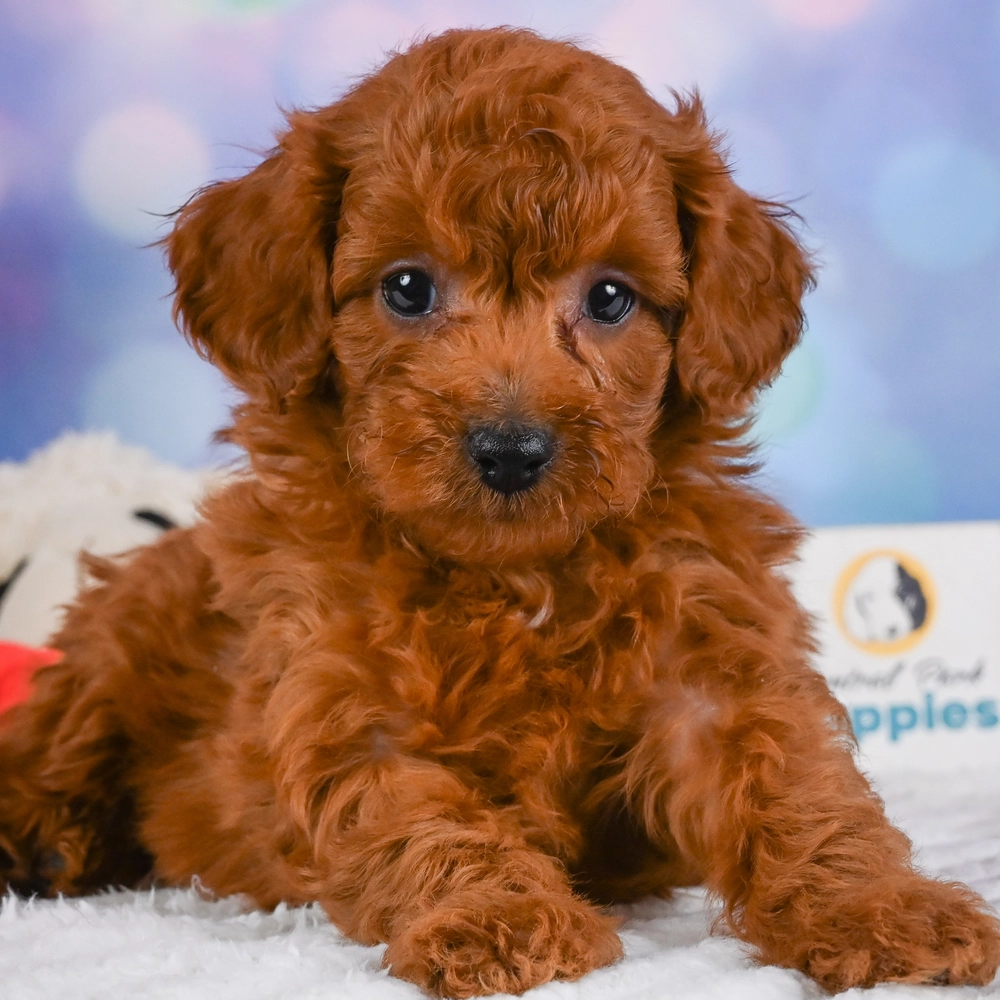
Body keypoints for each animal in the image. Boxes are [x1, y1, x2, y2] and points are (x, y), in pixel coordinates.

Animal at [1, 28, 997, 998]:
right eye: (407, 288)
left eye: (610, 297)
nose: (512, 450)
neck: (515, 576)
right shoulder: (344, 701)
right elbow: (419, 815)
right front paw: (498, 914)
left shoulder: (712, 665)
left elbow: (794, 784)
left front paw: (882, 909)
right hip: (116, 651)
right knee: (49, 739)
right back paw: (38, 841)